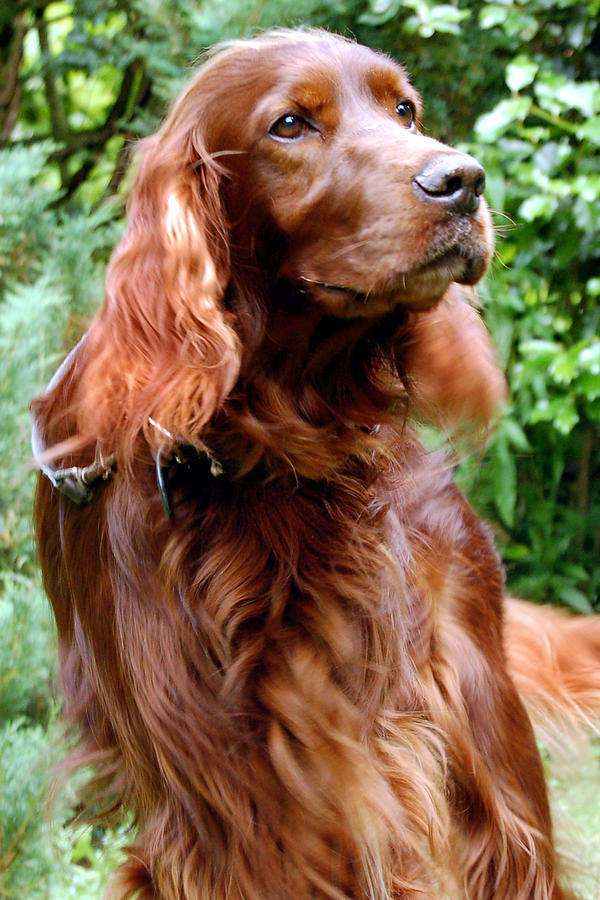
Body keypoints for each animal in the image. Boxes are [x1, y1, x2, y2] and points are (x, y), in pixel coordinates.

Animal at [32, 29, 600, 900]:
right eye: (291, 125)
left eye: (405, 110)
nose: (463, 180)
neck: (281, 453)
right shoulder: (232, 797)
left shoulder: (415, 741)